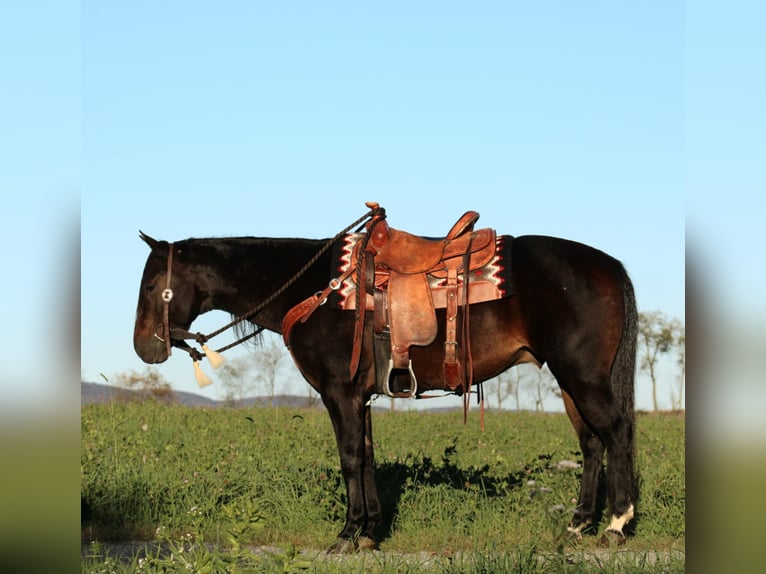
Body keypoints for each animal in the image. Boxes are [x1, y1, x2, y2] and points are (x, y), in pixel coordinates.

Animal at [135, 206, 640, 552]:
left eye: (151, 285)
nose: (145, 347)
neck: (317, 291)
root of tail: (609, 265)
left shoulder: (339, 393)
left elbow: (350, 457)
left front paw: (347, 533)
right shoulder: (360, 396)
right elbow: (369, 454)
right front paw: (370, 531)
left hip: (582, 375)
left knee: (615, 433)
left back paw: (616, 525)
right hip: (570, 380)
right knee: (591, 442)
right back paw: (577, 524)